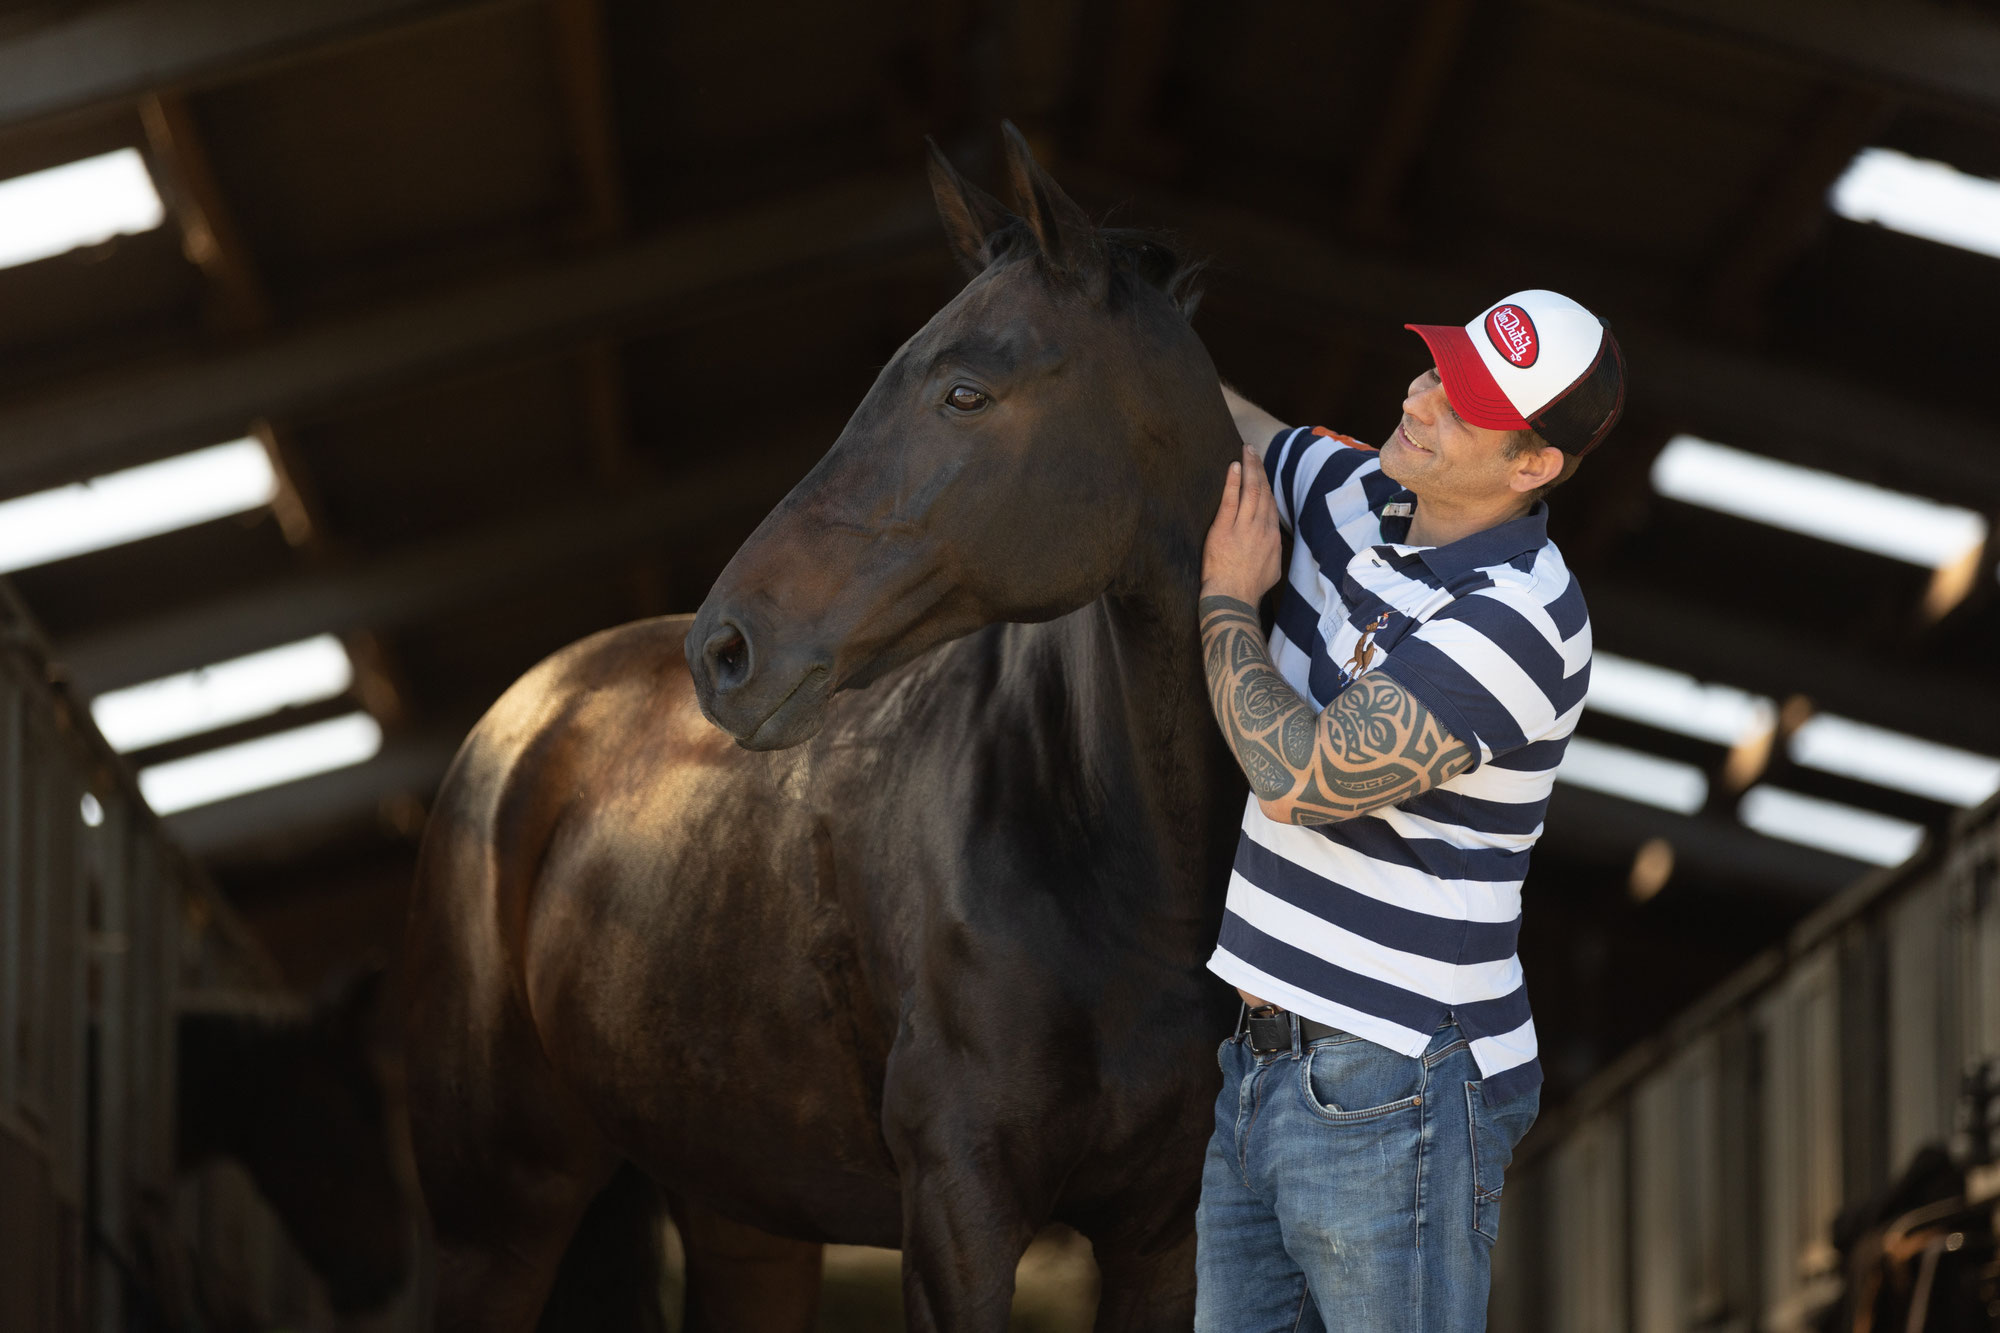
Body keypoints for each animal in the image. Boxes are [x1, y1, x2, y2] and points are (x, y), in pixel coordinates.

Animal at [400, 122, 1248, 1320]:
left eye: (964, 392)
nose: (727, 650)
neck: (1129, 883)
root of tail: (530, 717)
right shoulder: (957, 1214)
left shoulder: (1164, 1239)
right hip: (490, 1220)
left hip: (741, 1211)